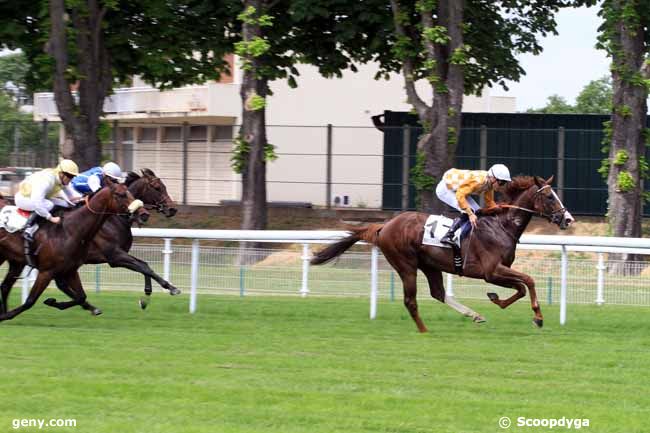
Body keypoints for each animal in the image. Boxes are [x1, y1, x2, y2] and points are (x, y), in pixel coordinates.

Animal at [308, 176, 572, 330]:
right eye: (549, 196)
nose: (568, 219)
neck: (501, 226)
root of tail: (385, 226)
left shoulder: (497, 271)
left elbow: (520, 288)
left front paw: (496, 299)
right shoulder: (491, 271)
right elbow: (528, 281)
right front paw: (538, 316)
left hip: (430, 265)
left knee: (438, 293)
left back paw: (473, 315)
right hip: (406, 265)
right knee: (410, 300)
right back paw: (424, 330)